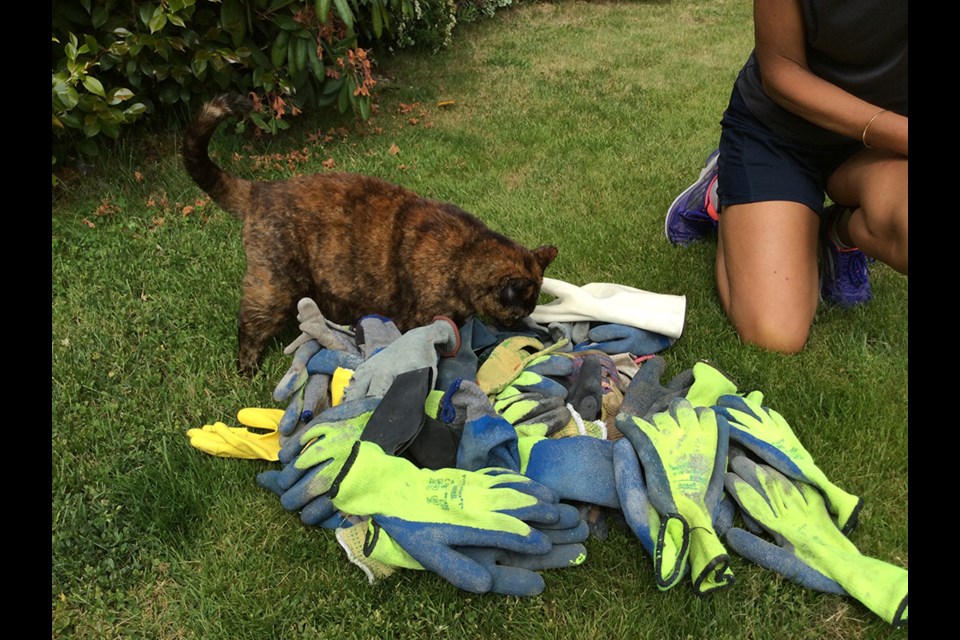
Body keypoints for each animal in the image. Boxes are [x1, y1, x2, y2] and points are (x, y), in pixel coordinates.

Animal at [184, 94, 560, 376]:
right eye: (516, 314)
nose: (525, 326)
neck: (466, 253)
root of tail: (259, 190)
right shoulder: (420, 318)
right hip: (275, 287)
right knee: (250, 324)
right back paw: (247, 368)